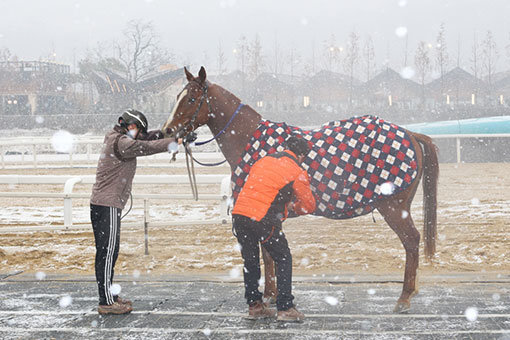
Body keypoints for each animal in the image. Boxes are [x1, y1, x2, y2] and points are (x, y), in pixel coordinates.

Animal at [162, 66, 438, 314]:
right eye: (176, 97)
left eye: (191, 98)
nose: (167, 130)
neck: (249, 140)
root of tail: (410, 133)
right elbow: (268, 254)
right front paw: (272, 295)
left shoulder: (264, 216)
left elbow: (267, 255)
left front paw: (269, 296)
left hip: (394, 208)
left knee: (411, 241)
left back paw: (404, 297)